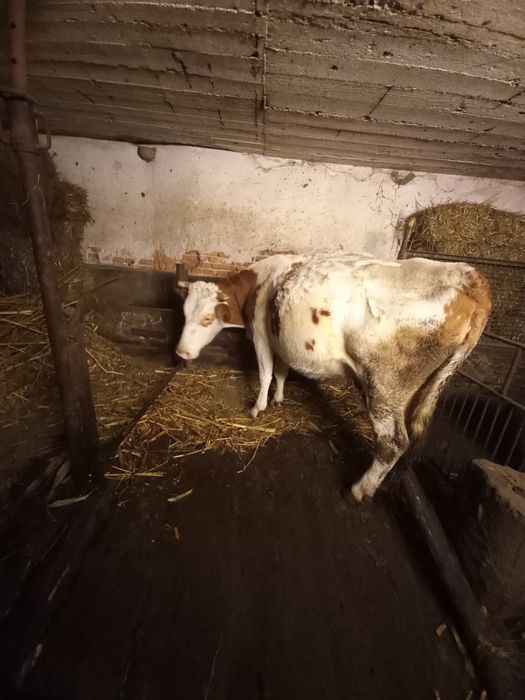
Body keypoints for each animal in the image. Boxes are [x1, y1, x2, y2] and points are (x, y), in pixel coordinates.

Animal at [175, 254, 491, 501]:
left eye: (206, 319)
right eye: (184, 313)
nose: (181, 351)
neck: (262, 281)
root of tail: (467, 276)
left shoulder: (262, 337)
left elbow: (265, 374)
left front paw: (257, 408)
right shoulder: (281, 341)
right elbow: (281, 372)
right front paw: (278, 399)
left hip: (384, 385)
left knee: (392, 443)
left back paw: (359, 490)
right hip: (415, 389)